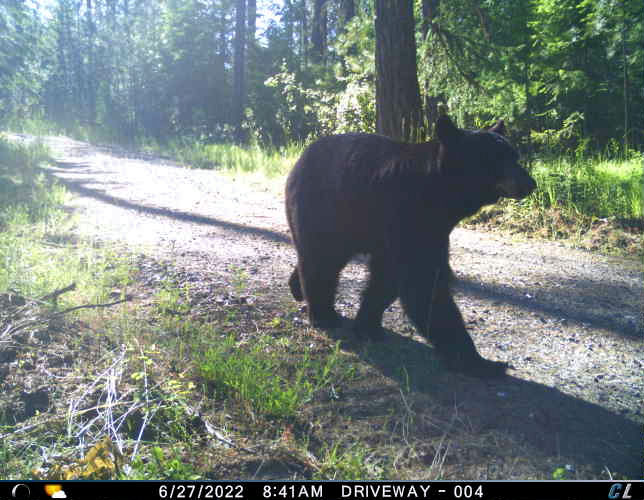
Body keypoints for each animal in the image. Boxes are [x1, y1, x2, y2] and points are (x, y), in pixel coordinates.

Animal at [286, 115, 540, 376]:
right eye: (496, 158)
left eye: (514, 155)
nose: (530, 183)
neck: (441, 196)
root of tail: (303, 156)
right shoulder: (410, 217)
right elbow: (424, 283)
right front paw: (481, 362)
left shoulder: (427, 230)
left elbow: (389, 279)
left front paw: (368, 325)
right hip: (326, 207)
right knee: (321, 259)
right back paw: (323, 314)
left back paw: (297, 288)